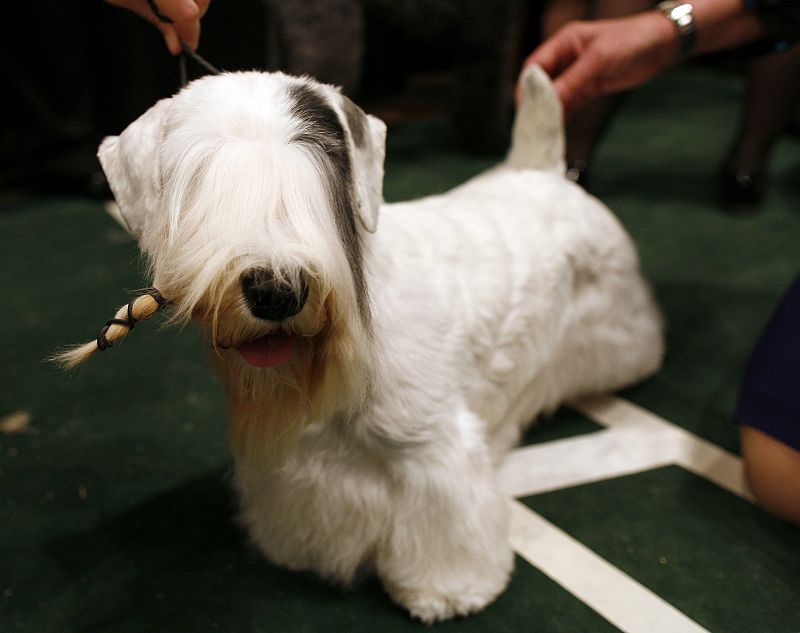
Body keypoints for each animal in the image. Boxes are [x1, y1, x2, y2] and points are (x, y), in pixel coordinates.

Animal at [76, 65, 664, 624]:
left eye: (320, 181)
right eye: (201, 184)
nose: (276, 291)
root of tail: (540, 171)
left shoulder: (432, 450)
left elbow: (447, 525)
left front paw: (449, 590)